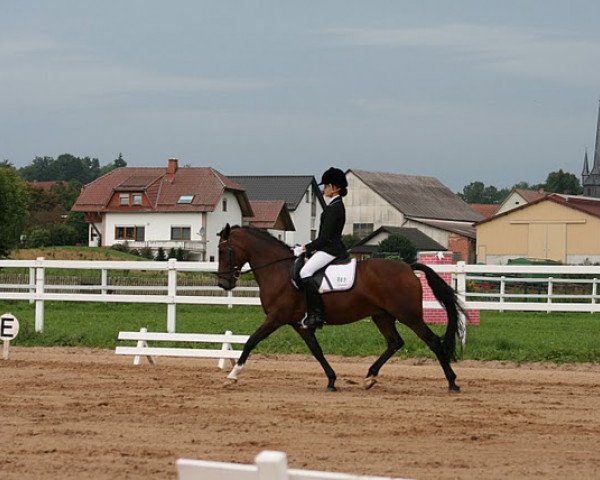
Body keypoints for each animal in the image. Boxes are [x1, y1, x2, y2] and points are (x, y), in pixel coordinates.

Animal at [216, 223, 464, 392]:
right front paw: (331, 380)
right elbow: (316, 351)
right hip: (382, 316)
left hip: (408, 315)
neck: (279, 271)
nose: (223, 284)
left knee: (432, 341)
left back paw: (452, 382)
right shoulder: (300, 324)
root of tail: (407, 267)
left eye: (223, 251)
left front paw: (232, 375)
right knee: (395, 342)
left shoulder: (276, 318)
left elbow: (251, 341)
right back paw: (370, 377)